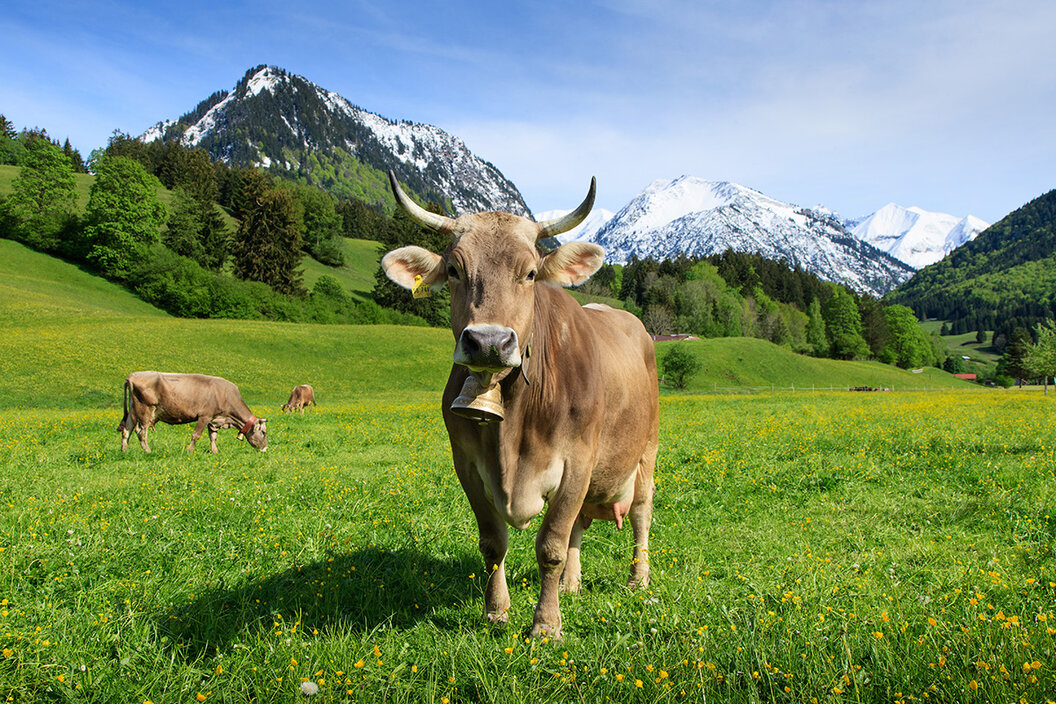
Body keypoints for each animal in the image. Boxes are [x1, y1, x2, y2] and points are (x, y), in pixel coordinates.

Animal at [118, 371, 268, 453]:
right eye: (264, 432)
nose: (265, 449)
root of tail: (132, 376)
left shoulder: (214, 419)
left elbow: (213, 436)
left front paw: (215, 452)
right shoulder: (205, 416)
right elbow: (196, 435)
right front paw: (189, 451)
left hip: (133, 410)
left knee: (127, 430)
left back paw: (124, 451)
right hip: (145, 410)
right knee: (141, 432)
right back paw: (148, 451)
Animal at [380, 172, 658, 637]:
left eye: (530, 273)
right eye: (454, 270)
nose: (489, 342)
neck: (512, 426)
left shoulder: (577, 463)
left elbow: (550, 546)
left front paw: (545, 625)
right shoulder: (467, 465)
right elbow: (494, 543)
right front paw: (497, 611)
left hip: (646, 454)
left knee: (640, 515)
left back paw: (638, 579)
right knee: (580, 526)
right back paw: (571, 585)